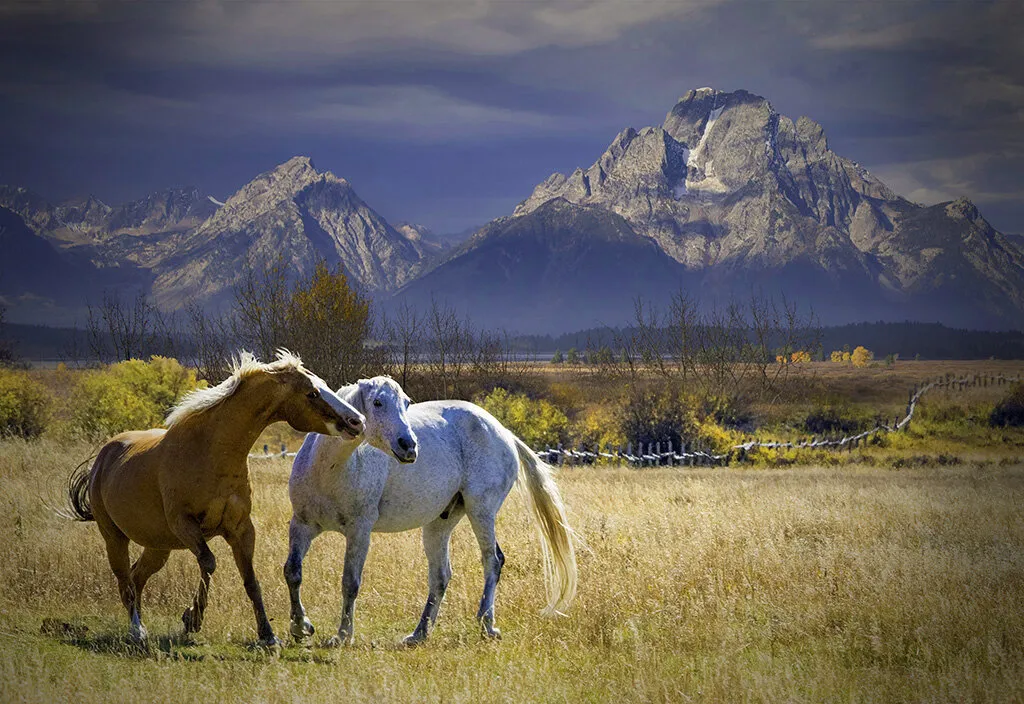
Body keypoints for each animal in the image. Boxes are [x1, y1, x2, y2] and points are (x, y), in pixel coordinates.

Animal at [64, 350, 366, 647]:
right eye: (312, 393)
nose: (357, 422)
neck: (209, 452)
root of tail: (103, 458)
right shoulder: (185, 525)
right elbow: (209, 563)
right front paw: (192, 618)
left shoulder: (241, 529)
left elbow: (250, 580)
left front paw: (268, 636)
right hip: (114, 537)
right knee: (124, 580)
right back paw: (136, 631)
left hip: (158, 546)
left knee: (137, 577)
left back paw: (142, 629)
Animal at [285, 376, 577, 646]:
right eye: (377, 402)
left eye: (406, 403)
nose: (409, 446)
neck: (329, 468)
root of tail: (502, 431)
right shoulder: (301, 525)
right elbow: (293, 572)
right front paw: (300, 627)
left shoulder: (359, 532)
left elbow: (350, 583)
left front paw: (343, 636)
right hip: (439, 524)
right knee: (440, 576)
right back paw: (419, 633)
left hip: (481, 511)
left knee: (492, 560)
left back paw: (486, 624)